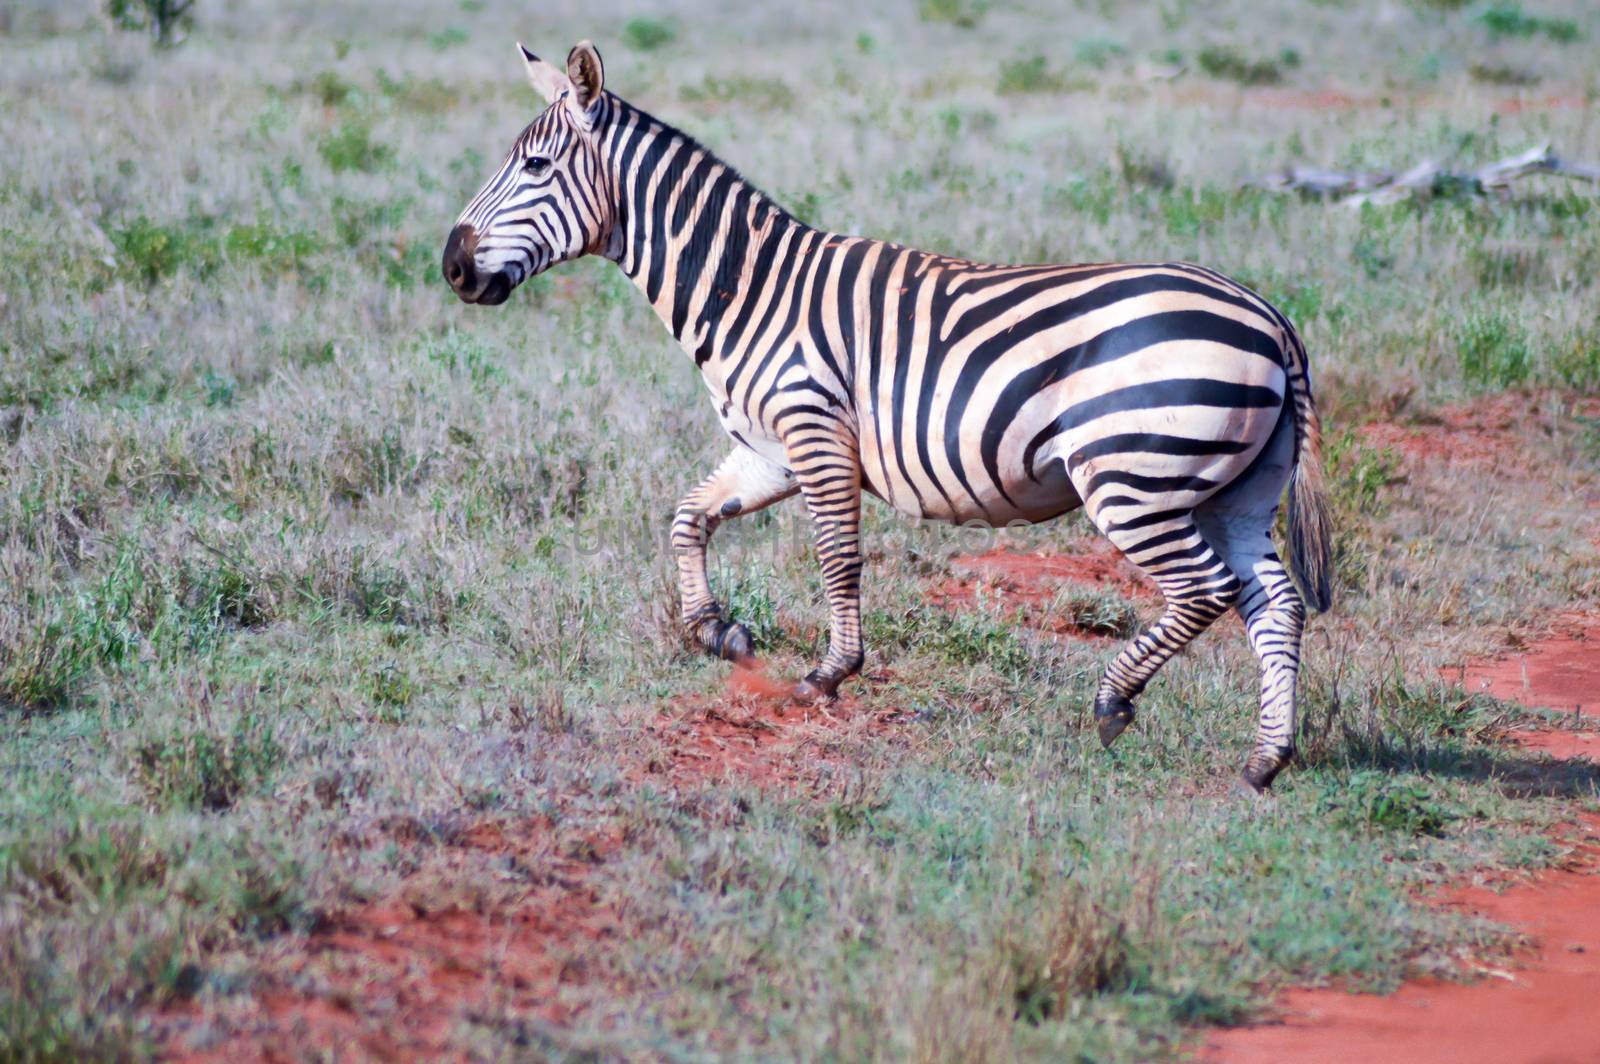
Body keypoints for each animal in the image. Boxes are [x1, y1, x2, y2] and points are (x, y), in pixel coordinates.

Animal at [444, 41, 1331, 787]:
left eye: (533, 165)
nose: (451, 264)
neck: (747, 288)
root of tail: (1268, 315)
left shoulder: (814, 430)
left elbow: (837, 558)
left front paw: (830, 673)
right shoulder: (766, 450)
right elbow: (688, 518)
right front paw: (717, 630)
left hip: (1132, 478)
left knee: (1207, 589)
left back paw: (1115, 701)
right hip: (1233, 490)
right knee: (1274, 604)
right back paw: (1265, 760)